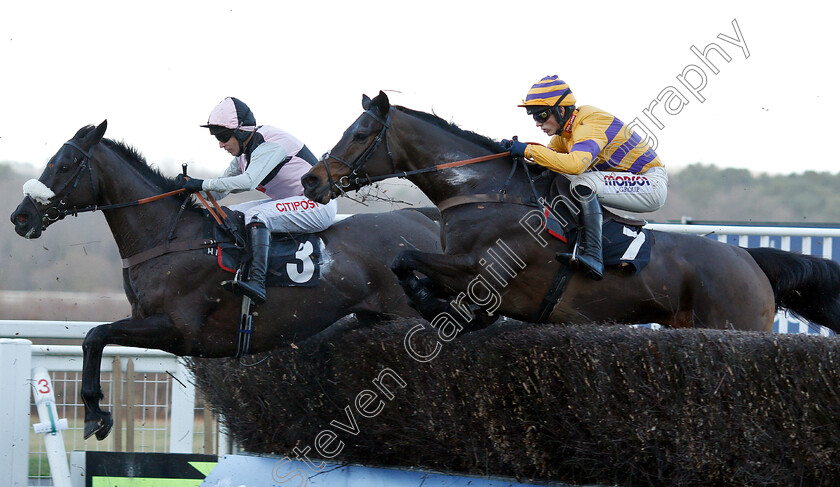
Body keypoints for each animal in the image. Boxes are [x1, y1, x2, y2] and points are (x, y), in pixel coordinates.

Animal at [9, 122, 442, 442]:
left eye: (65, 165)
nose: (20, 216)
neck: (170, 237)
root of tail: (424, 218)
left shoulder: (178, 330)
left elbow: (94, 335)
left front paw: (96, 414)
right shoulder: (150, 321)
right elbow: (94, 338)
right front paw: (96, 414)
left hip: (409, 314)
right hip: (377, 318)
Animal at [302, 91, 840, 336]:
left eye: (361, 132)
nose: (311, 180)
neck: (485, 194)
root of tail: (749, 259)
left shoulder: (480, 269)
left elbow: (406, 259)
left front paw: (437, 306)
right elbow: (403, 262)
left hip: (736, 325)